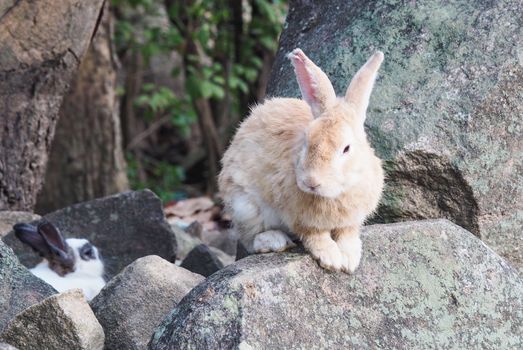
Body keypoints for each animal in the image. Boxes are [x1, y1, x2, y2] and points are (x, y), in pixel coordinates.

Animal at [217, 47, 384, 272]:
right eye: (307, 139)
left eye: (346, 148)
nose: (311, 182)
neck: (336, 192)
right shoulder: (300, 219)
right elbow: (315, 235)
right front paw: (332, 259)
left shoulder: (351, 220)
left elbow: (347, 234)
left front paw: (350, 260)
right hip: (244, 206)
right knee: (251, 240)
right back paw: (276, 240)